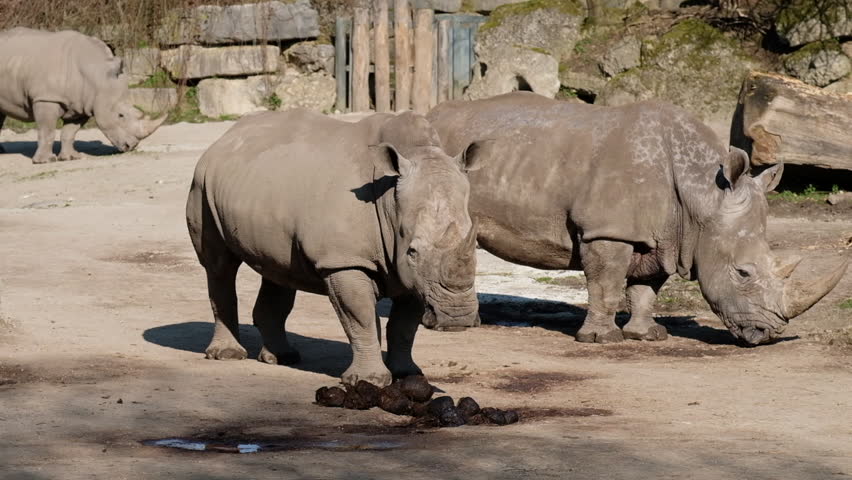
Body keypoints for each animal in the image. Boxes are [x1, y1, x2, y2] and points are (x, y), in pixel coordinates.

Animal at [0, 28, 165, 164]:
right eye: (120, 115)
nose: (131, 146)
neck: (98, 76)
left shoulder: (82, 104)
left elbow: (69, 132)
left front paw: (71, 158)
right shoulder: (46, 98)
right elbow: (47, 130)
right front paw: (45, 161)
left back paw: (2, 152)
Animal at [186, 109, 483, 386]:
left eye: (475, 247)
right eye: (413, 251)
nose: (457, 318)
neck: (389, 200)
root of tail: (223, 139)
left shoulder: (412, 276)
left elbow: (404, 325)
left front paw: (408, 373)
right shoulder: (344, 261)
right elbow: (361, 318)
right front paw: (368, 381)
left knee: (277, 270)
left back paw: (282, 357)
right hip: (201, 184)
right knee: (220, 266)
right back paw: (227, 355)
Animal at [428, 92, 848, 346]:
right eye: (743, 272)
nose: (769, 333)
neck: (701, 194)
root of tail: (429, 113)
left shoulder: (666, 235)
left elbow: (646, 288)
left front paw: (648, 335)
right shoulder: (608, 230)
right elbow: (606, 284)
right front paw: (601, 340)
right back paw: (455, 325)